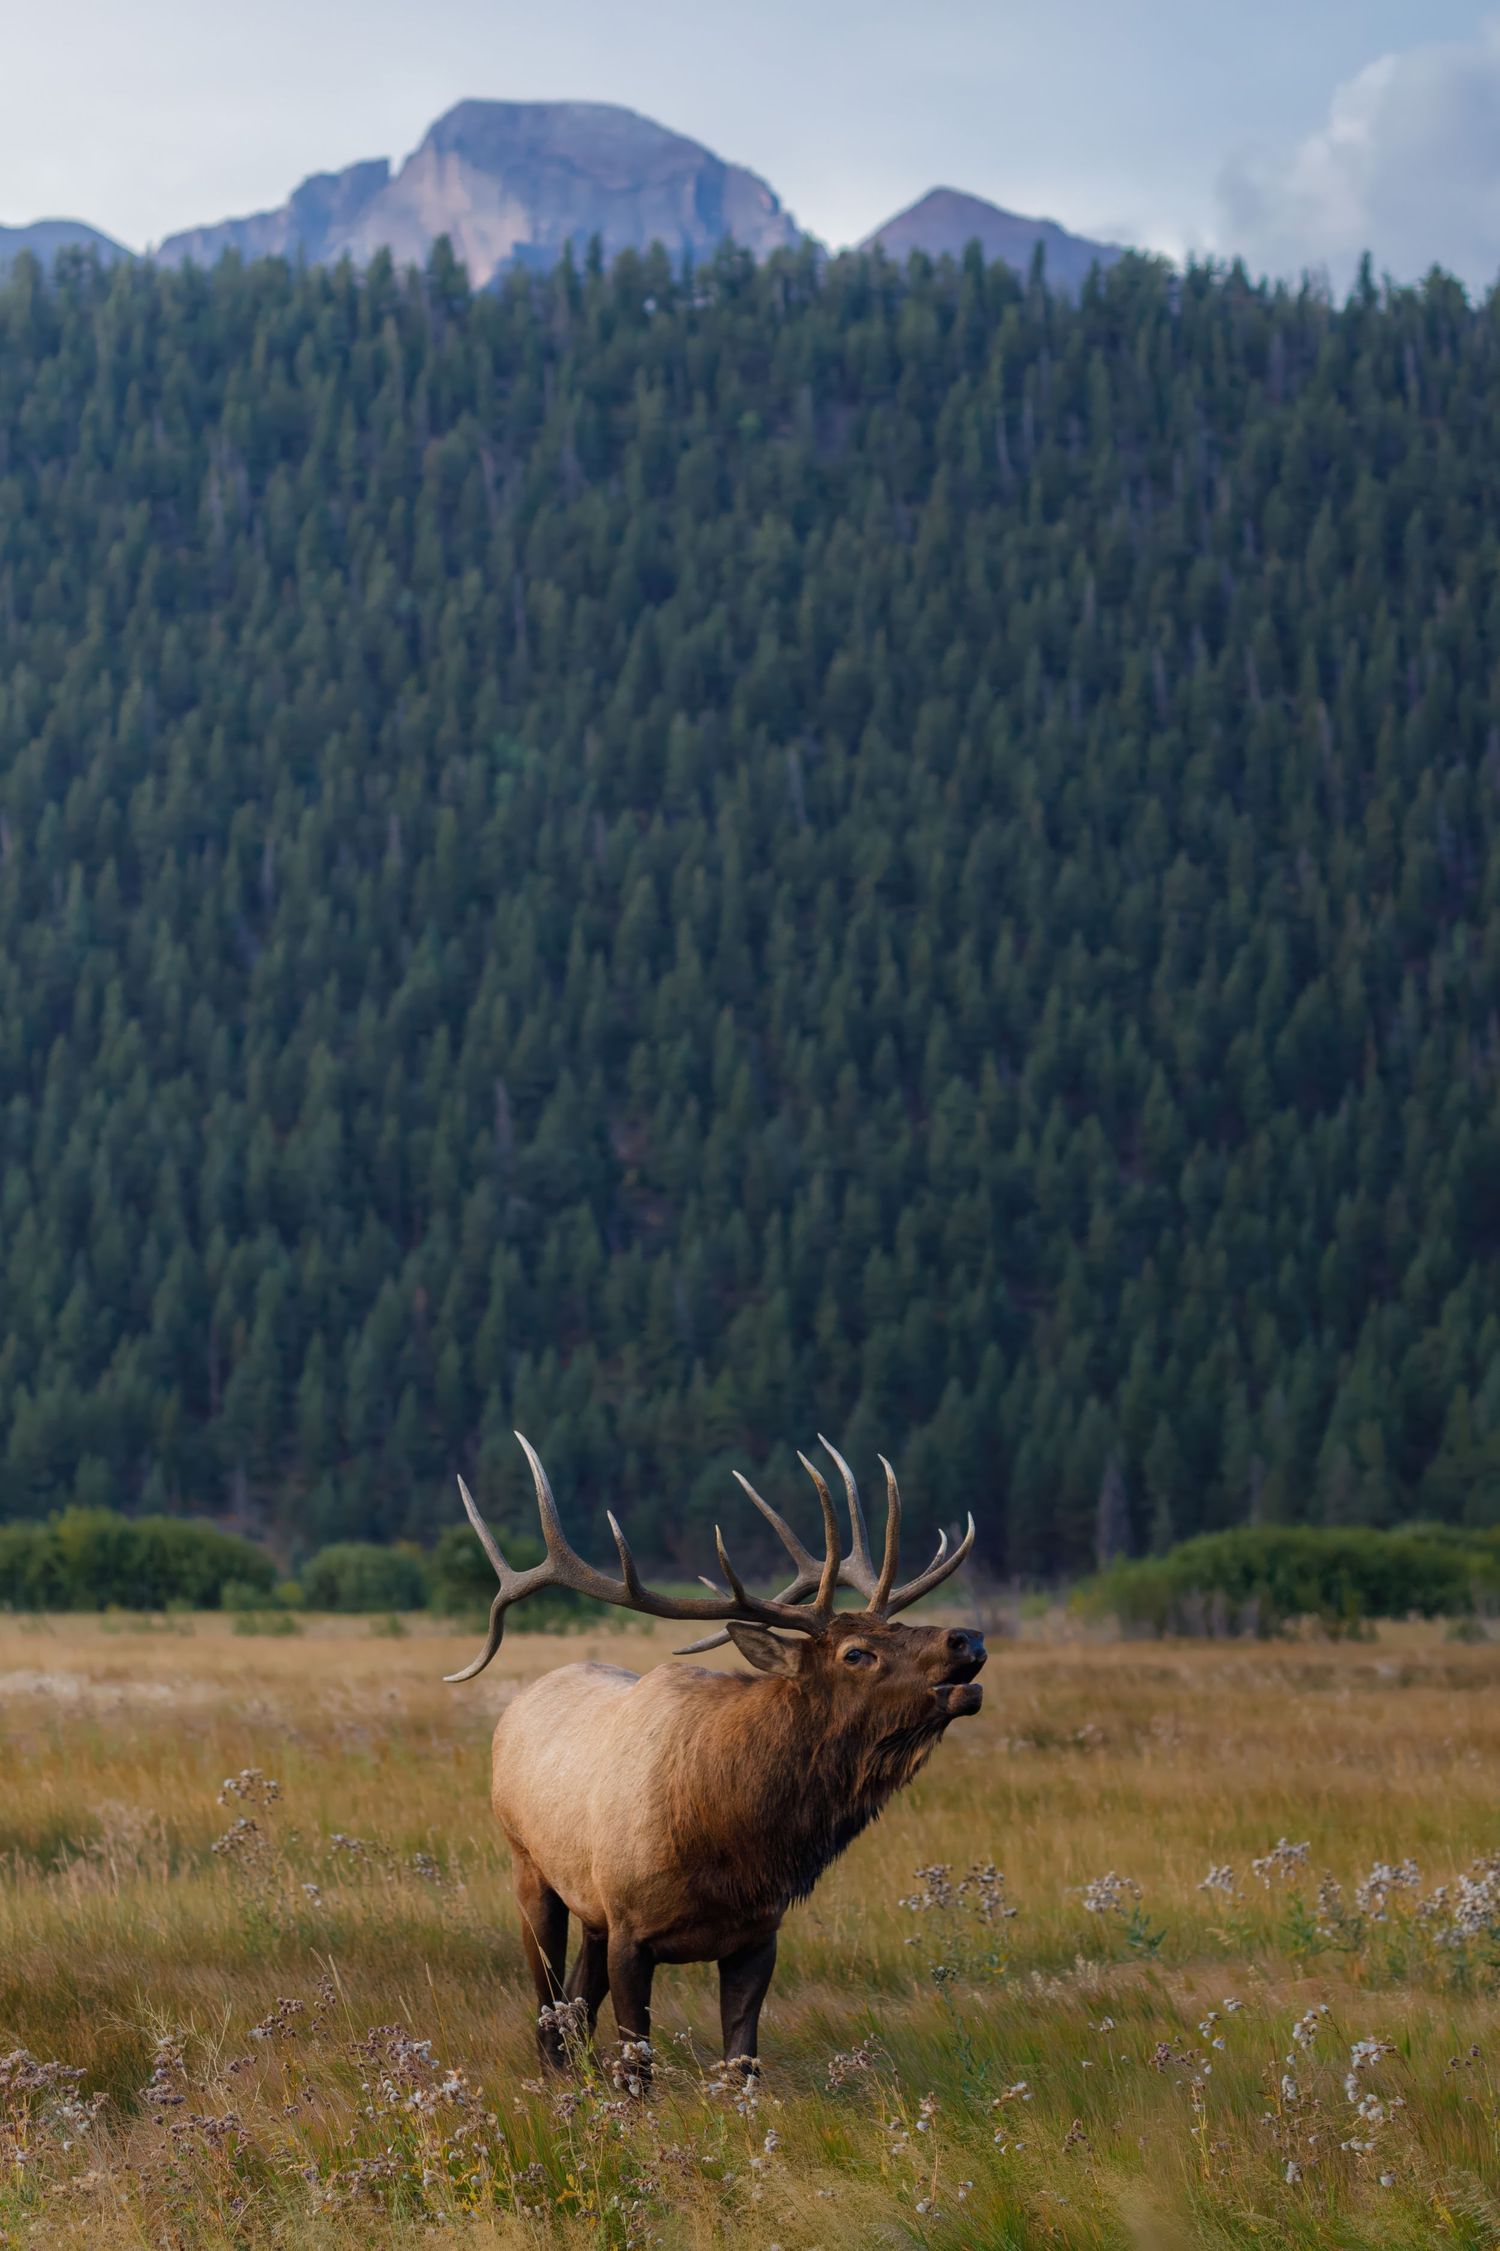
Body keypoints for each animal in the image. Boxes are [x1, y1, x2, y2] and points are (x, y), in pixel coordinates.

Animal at [443, 1432, 984, 2075]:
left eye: (899, 1626)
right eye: (855, 1653)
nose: (967, 1639)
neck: (731, 1844)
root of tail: (518, 1704)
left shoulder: (757, 1936)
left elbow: (741, 2063)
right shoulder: (631, 1929)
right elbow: (638, 2066)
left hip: (591, 1907)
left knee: (575, 2005)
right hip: (528, 1865)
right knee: (549, 2007)